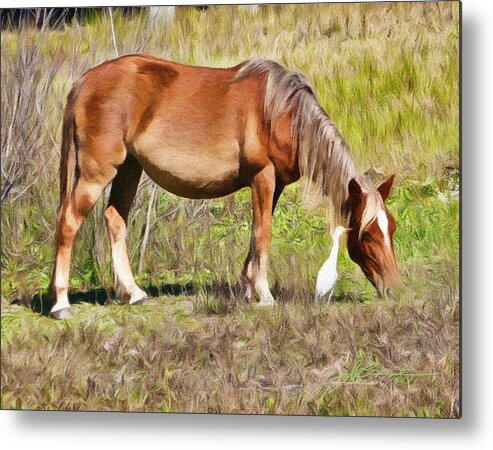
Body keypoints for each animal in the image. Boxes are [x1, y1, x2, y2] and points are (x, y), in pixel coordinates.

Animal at [47, 54, 400, 318]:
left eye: (391, 228)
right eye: (367, 234)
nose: (393, 287)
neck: (281, 112)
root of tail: (84, 81)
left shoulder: (273, 185)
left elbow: (255, 235)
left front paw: (248, 289)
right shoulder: (263, 177)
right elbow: (263, 234)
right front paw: (264, 294)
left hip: (129, 169)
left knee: (115, 220)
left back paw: (133, 293)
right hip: (96, 174)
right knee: (68, 223)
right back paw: (61, 303)